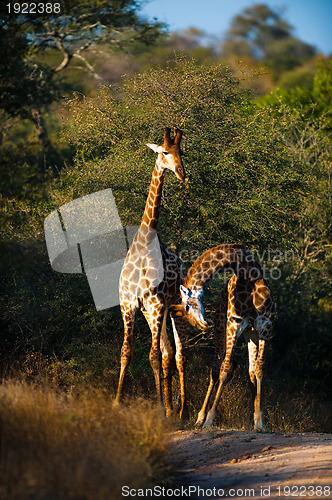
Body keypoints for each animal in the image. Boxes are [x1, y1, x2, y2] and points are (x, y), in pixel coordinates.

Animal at [115, 128, 189, 418]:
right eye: (164, 152)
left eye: (182, 152)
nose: (181, 173)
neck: (144, 242)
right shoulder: (129, 304)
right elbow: (127, 352)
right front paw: (116, 402)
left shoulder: (156, 303)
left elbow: (153, 355)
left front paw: (158, 407)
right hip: (152, 312)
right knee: (168, 352)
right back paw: (170, 409)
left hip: (174, 306)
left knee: (178, 354)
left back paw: (181, 412)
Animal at [171, 243, 274, 430]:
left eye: (187, 306)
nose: (200, 325)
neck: (250, 275)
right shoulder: (234, 323)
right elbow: (224, 369)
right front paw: (210, 418)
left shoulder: (265, 326)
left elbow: (259, 368)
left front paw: (259, 421)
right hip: (221, 328)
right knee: (216, 367)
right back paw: (200, 417)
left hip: (251, 334)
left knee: (249, 370)